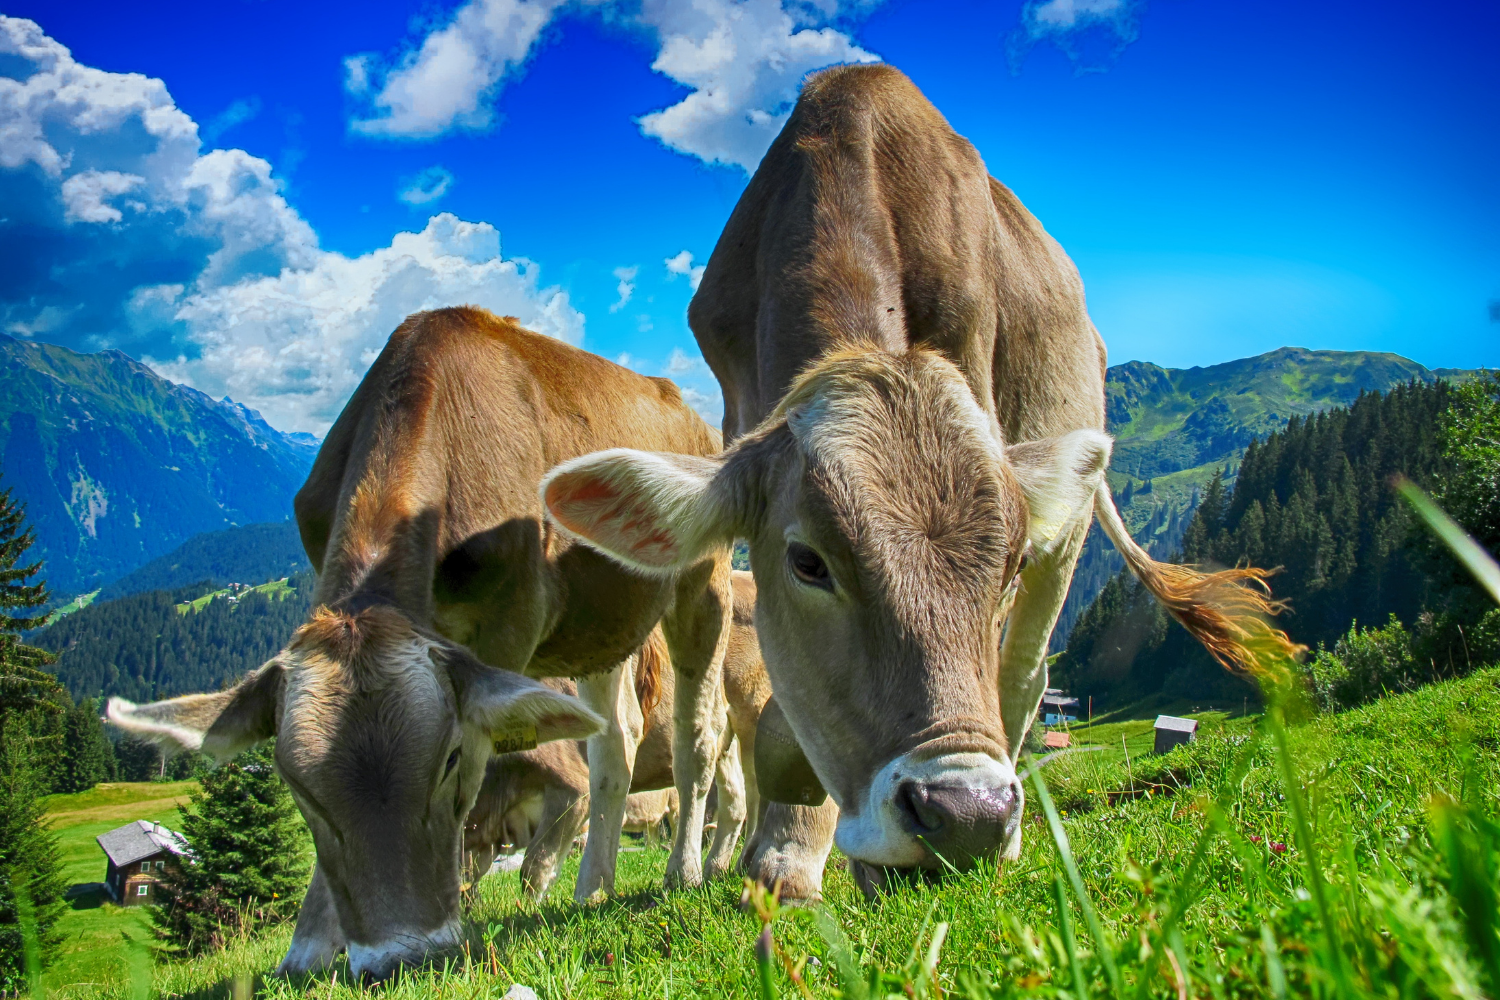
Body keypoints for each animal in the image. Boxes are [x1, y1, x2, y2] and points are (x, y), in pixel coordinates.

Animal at [105, 307, 732, 977]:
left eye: (450, 759)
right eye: (296, 787)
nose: (400, 957)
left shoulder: (508, 628)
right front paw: (309, 947)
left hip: (703, 583)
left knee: (698, 735)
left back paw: (684, 872)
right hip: (598, 627)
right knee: (615, 741)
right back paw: (593, 887)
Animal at [540, 68, 1302, 899]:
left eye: (1007, 564)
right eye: (806, 562)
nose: (967, 815)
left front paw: (802, 850)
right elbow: (782, 713)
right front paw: (783, 854)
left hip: (1066, 532)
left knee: (1024, 674)